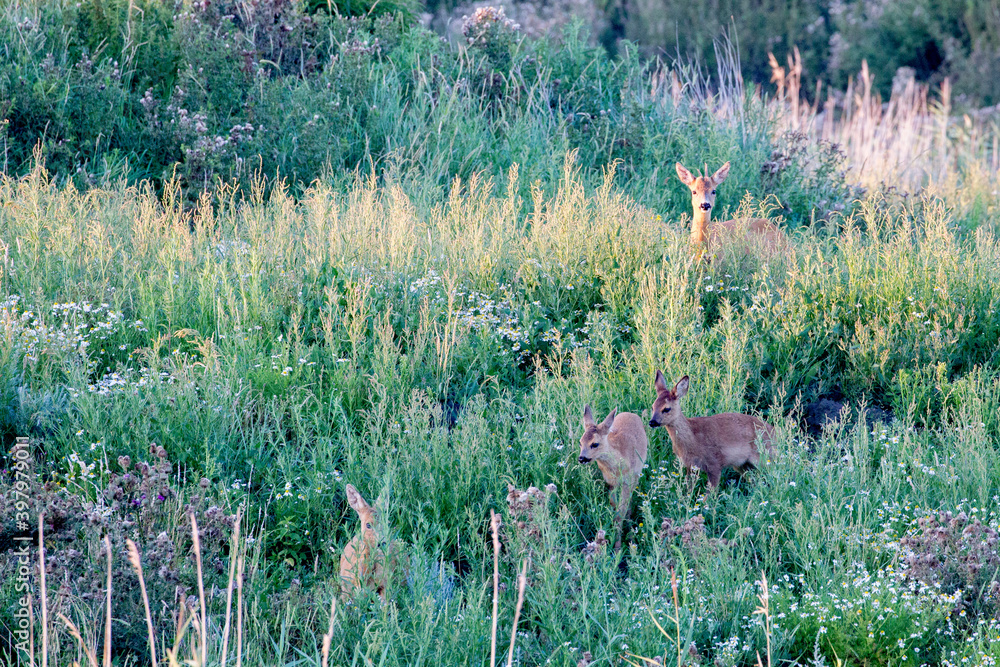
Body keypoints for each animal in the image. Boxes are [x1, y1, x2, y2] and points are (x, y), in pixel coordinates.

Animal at [578, 405, 648, 550]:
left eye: (595, 444)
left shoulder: (628, 482)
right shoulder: (610, 482)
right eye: (580, 442)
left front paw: (618, 547)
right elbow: (614, 508)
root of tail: (630, 413)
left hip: (636, 476)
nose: (581, 458)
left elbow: (620, 513)